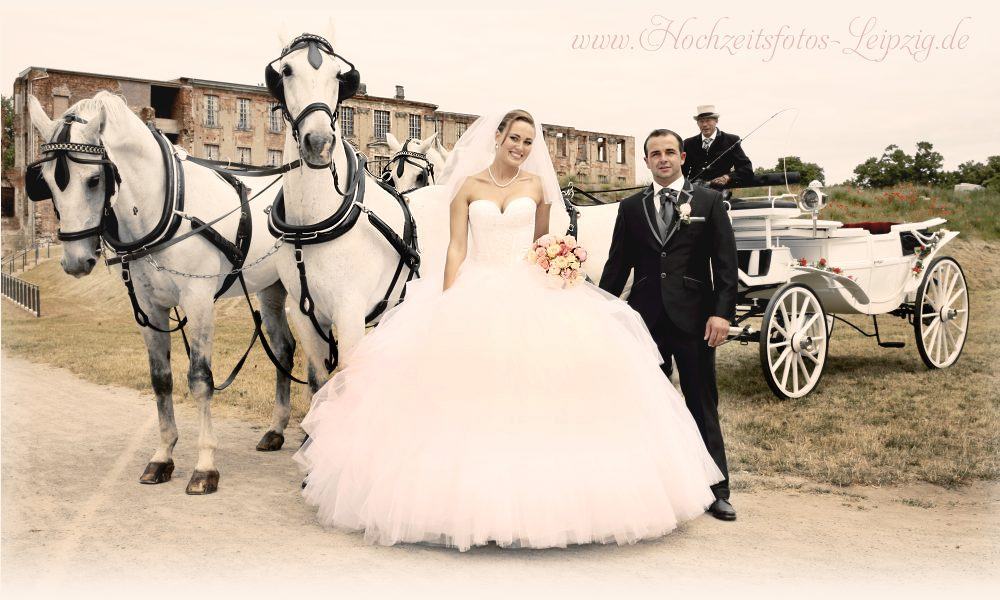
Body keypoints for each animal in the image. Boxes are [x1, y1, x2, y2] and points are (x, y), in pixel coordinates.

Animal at [27, 91, 296, 494]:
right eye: (46, 181)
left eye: (94, 179)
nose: (75, 261)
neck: (167, 207)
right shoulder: (150, 309)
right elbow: (161, 380)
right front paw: (163, 456)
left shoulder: (199, 303)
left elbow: (200, 380)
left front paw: (205, 465)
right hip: (270, 289)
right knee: (283, 350)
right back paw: (277, 430)